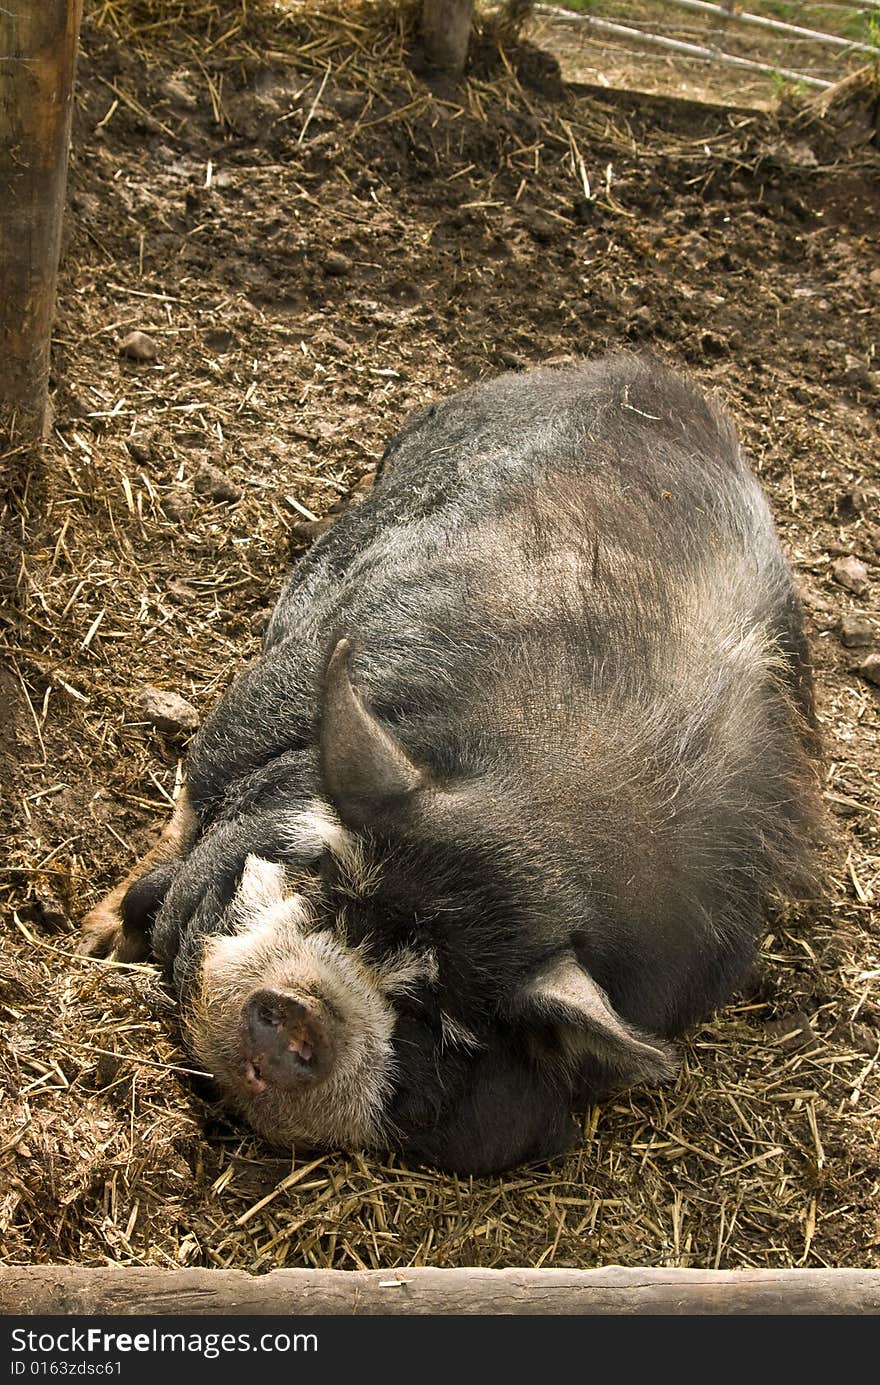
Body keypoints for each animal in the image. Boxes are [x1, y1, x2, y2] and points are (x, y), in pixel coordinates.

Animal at [81, 351, 825, 1174]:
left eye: (434, 1015)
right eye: (325, 886)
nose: (304, 1012)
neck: (546, 812)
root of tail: (657, 377)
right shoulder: (258, 713)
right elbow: (180, 828)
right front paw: (99, 943)